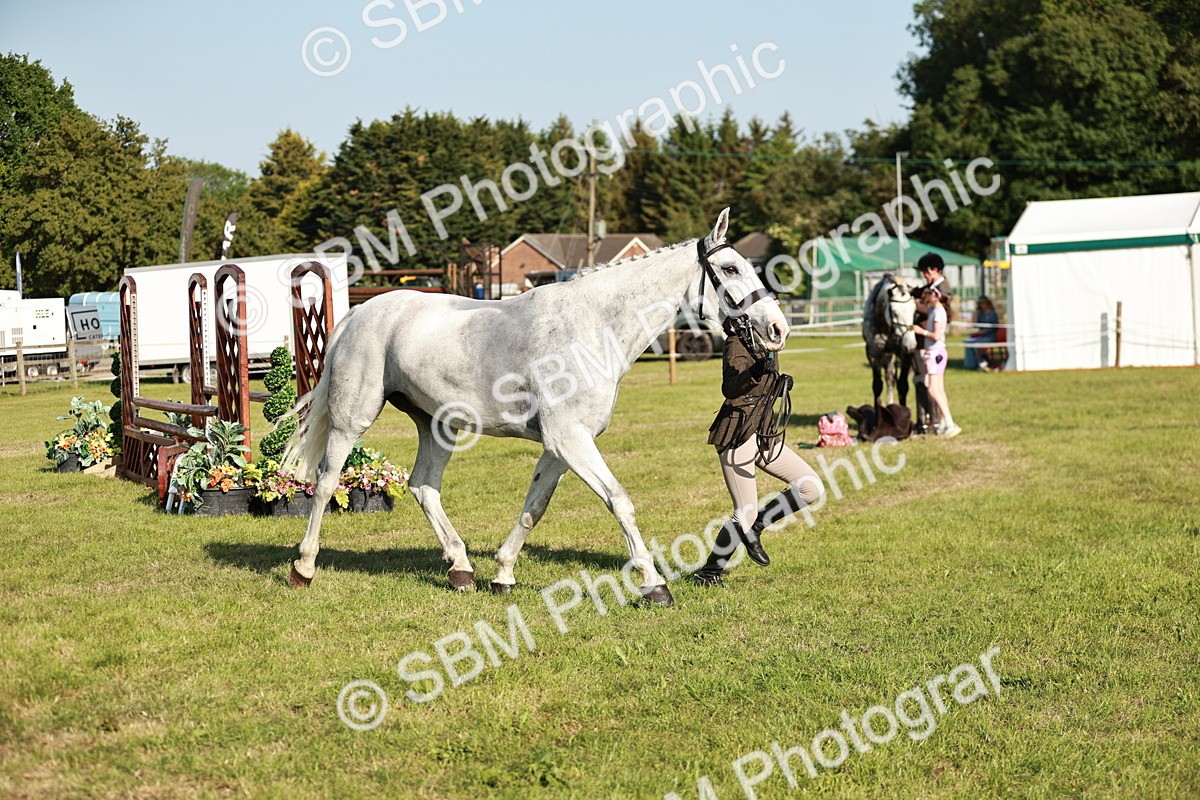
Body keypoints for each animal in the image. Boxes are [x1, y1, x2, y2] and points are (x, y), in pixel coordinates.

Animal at [281, 208, 788, 607]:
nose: (778, 329)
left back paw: (461, 569)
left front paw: (502, 574)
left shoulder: (561, 446)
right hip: (352, 419)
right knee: (325, 483)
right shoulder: (570, 440)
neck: (594, 327)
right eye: (730, 268)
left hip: (438, 425)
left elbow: (534, 506)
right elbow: (620, 501)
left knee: (424, 487)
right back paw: (303, 568)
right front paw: (653, 585)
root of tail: (361, 312)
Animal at [862, 274, 918, 407]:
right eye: (894, 311)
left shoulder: (905, 354)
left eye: (914, 309)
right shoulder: (874, 355)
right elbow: (877, 386)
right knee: (889, 379)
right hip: (887, 357)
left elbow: (903, 386)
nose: (911, 345)